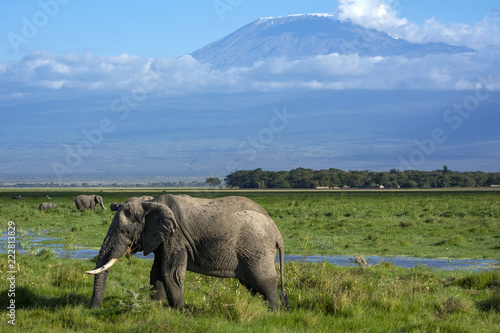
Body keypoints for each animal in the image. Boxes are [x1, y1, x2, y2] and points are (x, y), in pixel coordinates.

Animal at [87, 193, 290, 310]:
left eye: (124, 232)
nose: (94, 309)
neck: (150, 202)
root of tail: (278, 234)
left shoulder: (176, 237)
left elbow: (170, 272)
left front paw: (179, 311)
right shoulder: (162, 239)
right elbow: (156, 273)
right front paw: (155, 309)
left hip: (257, 250)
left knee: (264, 282)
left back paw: (274, 313)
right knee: (252, 285)